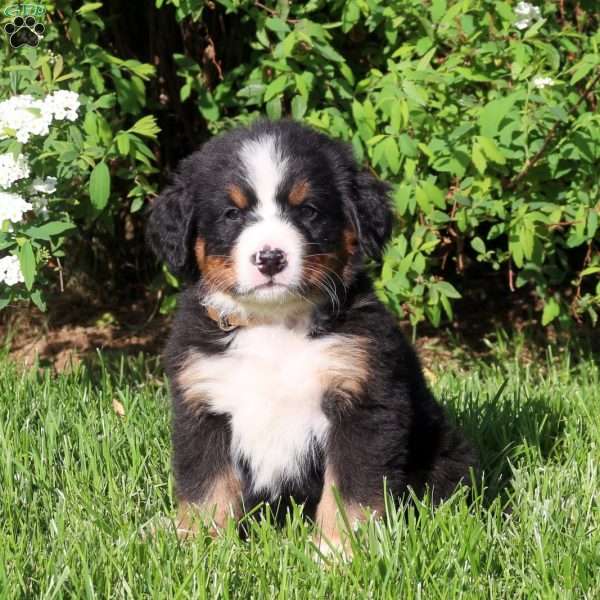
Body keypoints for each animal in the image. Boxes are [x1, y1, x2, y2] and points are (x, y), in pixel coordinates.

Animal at [148, 119, 476, 556]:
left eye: (308, 210)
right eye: (232, 214)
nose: (270, 258)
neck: (275, 326)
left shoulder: (362, 403)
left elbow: (349, 490)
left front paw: (338, 552)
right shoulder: (204, 404)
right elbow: (207, 486)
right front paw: (199, 545)